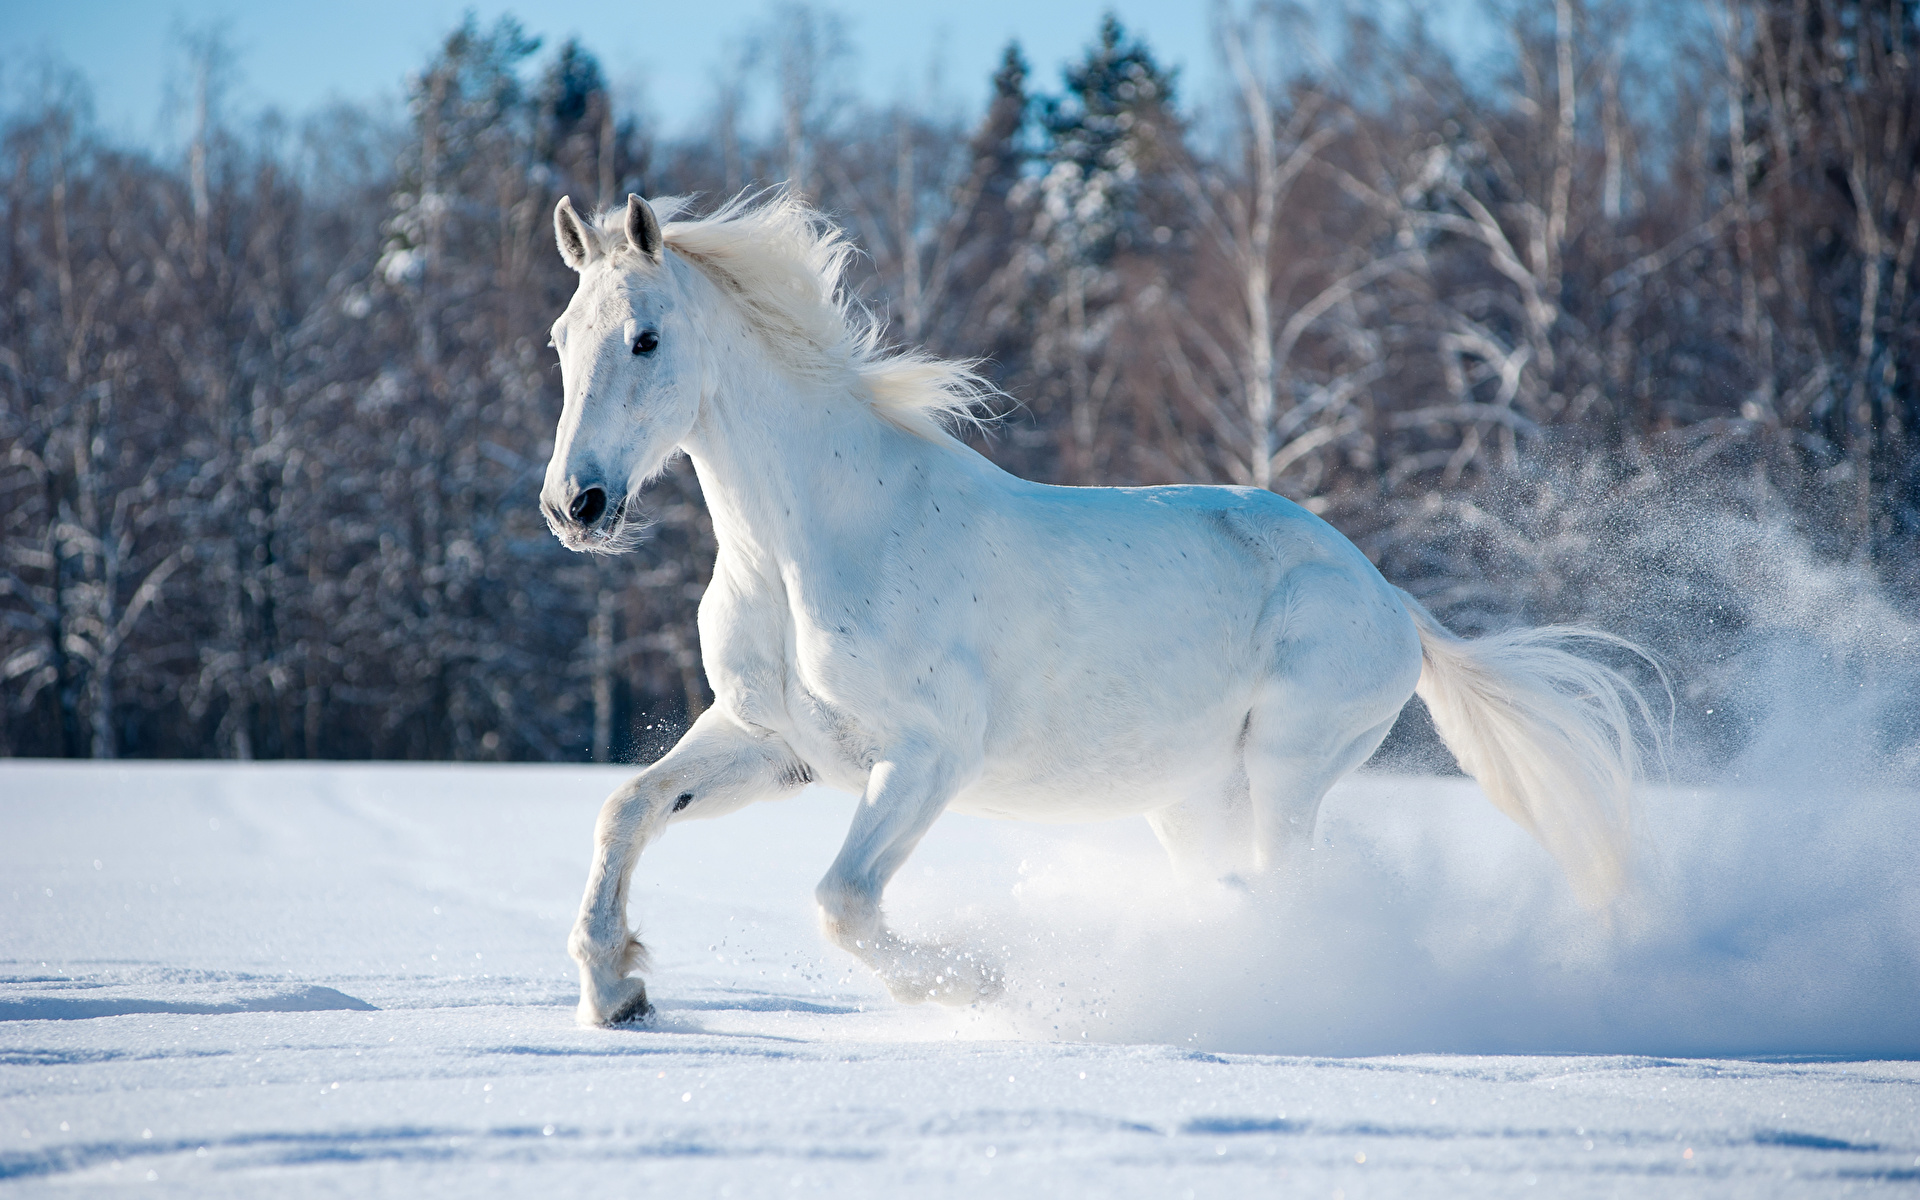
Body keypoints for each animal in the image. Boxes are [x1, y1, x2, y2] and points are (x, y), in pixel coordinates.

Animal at [542, 190, 1656, 1026]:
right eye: (560, 339)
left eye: (645, 339)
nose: (574, 506)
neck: (809, 544)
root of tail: (1388, 598)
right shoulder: (774, 742)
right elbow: (625, 809)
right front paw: (618, 991)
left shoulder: (930, 755)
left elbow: (843, 902)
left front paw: (978, 982)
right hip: (1191, 798)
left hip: (1289, 768)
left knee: (1288, 893)